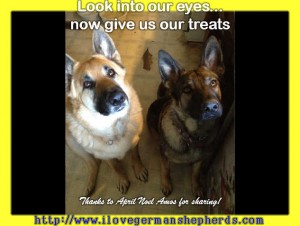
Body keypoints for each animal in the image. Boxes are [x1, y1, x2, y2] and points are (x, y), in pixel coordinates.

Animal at [65, 28, 148, 195]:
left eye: (111, 73)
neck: (113, 126)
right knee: (93, 164)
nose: (118, 98)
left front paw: (138, 168)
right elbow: (116, 167)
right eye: (87, 84)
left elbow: (135, 156)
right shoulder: (106, 156)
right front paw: (122, 179)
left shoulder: (135, 141)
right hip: (71, 142)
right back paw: (90, 184)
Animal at [146, 36, 224, 197]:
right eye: (187, 89)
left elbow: (195, 173)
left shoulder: (200, 160)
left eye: (213, 83)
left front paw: (197, 186)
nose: (212, 108)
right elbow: (165, 169)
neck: (193, 135)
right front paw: (166, 184)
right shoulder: (164, 155)